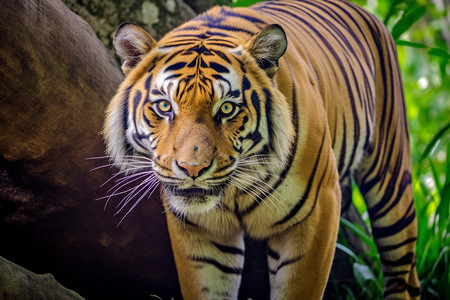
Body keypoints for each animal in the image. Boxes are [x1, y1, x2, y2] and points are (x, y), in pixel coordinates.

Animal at [103, 0, 420, 298]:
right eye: (164, 106)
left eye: (227, 108)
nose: (193, 169)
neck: (234, 191)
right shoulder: (200, 230)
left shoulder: (319, 211)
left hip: (392, 181)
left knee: (404, 273)